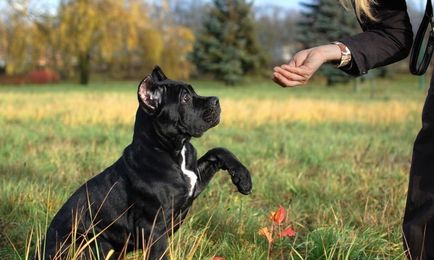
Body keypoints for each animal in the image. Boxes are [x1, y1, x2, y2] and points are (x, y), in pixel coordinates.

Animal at [39, 66, 254, 258]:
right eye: (185, 98)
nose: (216, 100)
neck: (172, 149)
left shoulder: (195, 181)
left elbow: (218, 151)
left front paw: (243, 178)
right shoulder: (153, 228)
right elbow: (160, 255)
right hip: (88, 244)